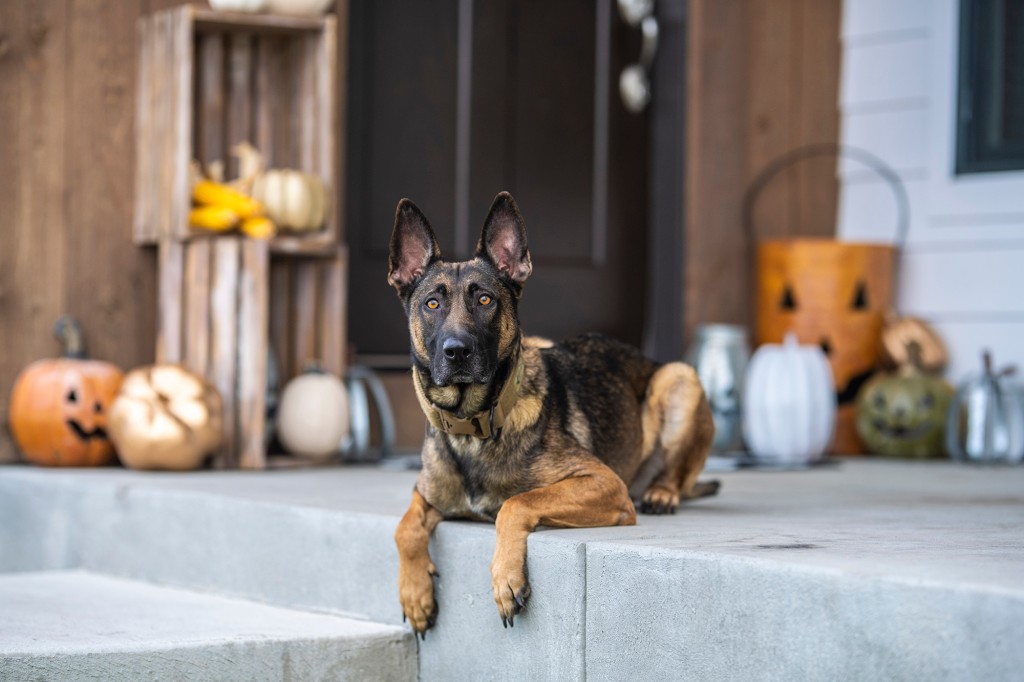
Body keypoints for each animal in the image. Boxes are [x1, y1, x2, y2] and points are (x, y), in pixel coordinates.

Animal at [387, 189, 716, 630]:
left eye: (486, 299)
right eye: (432, 303)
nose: (457, 351)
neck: (475, 427)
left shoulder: (604, 484)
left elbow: (517, 502)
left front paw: (505, 576)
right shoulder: (426, 494)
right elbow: (404, 527)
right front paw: (415, 593)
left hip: (679, 378)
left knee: (674, 472)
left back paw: (662, 493)